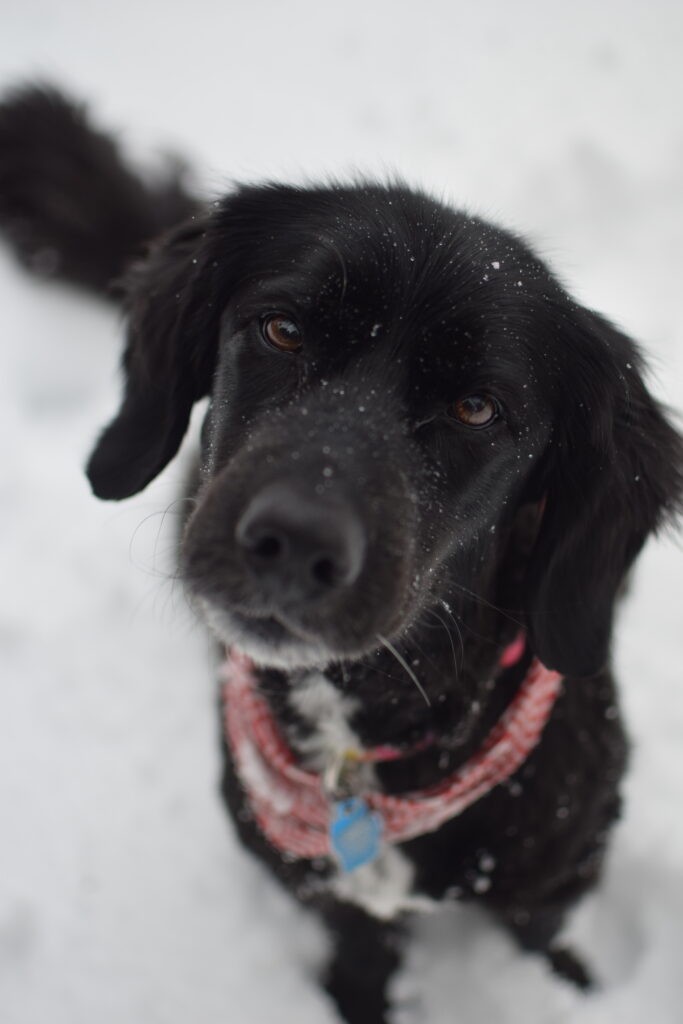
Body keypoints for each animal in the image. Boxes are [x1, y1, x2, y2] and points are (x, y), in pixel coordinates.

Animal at [0, 86, 679, 1015]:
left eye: (476, 408)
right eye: (283, 330)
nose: (292, 543)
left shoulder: (564, 863)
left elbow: (542, 937)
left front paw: (567, 988)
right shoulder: (318, 888)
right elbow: (359, 953)